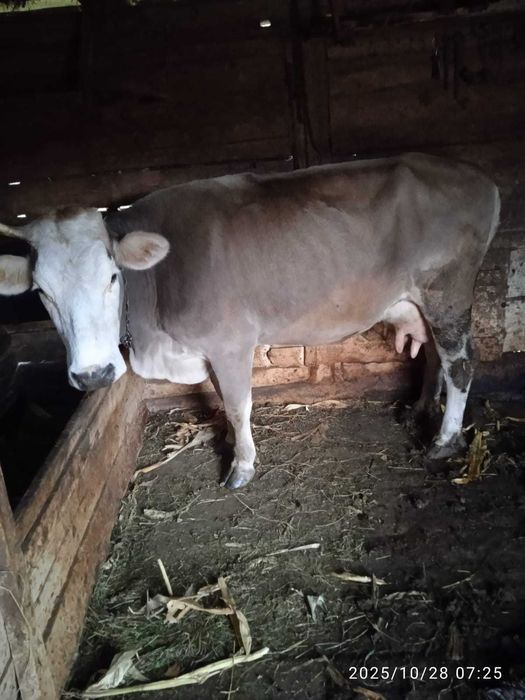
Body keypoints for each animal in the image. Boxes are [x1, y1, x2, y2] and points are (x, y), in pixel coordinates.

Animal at [0, 153, 500, 489]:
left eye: (111, 276)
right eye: (41, 292)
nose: (93, 374)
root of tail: (474, 174)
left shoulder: (229, 342)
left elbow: (240, 404)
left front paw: (241, 466)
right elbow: (223, 399)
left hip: (447, 290)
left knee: (461, 362)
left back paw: (444, 440)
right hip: (422, 300)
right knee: (434, 354)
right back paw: (421, 409)